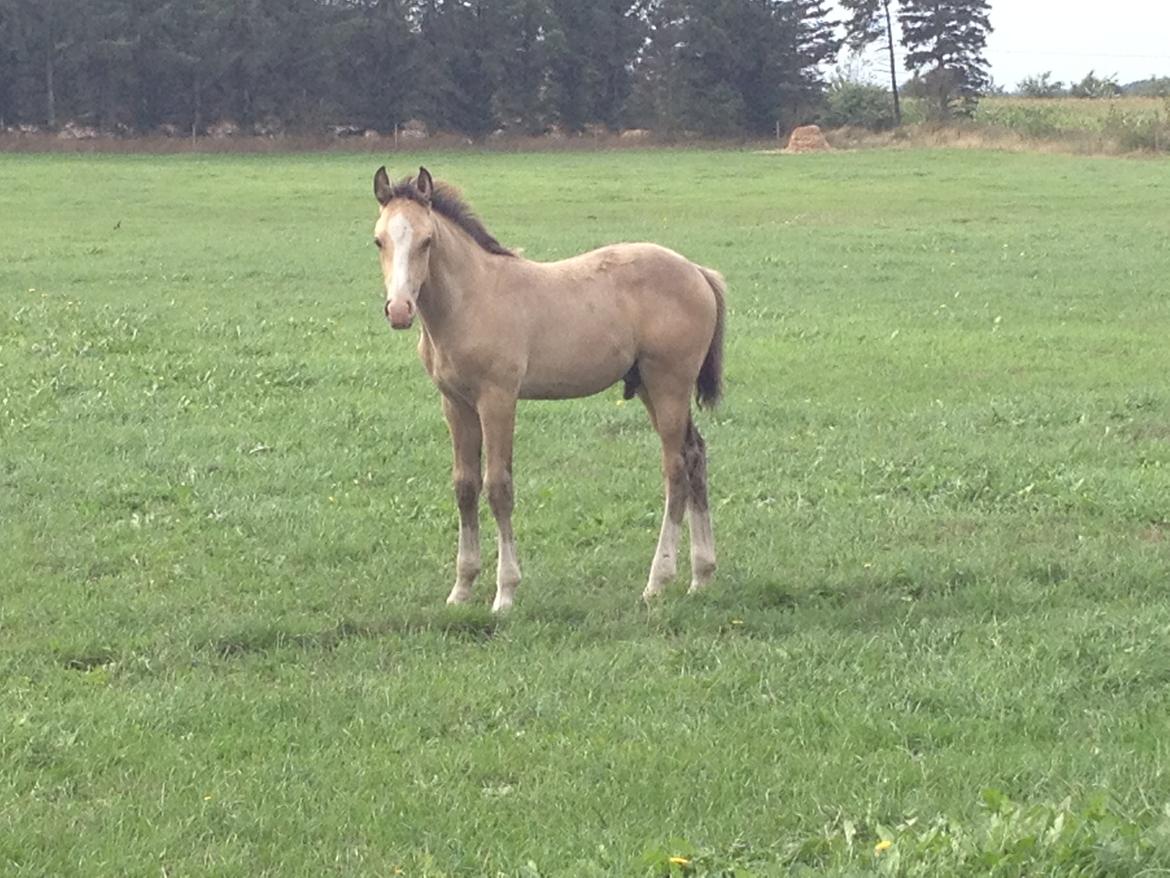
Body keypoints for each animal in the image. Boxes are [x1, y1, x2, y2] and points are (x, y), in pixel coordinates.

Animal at [372, 165, 720, 613]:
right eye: (379, 240)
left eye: (427, 240)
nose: (399, 310)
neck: (470, 300)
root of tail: (698, 271)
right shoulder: (455, 403)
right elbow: (465, 486)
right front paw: (462, 588)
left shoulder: (498, 399)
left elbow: (498, 486)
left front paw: (505, 593)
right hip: (649, 386)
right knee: (695, 455)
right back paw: (701, 576)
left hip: (669, 384)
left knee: (675, 469)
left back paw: (657, 581)